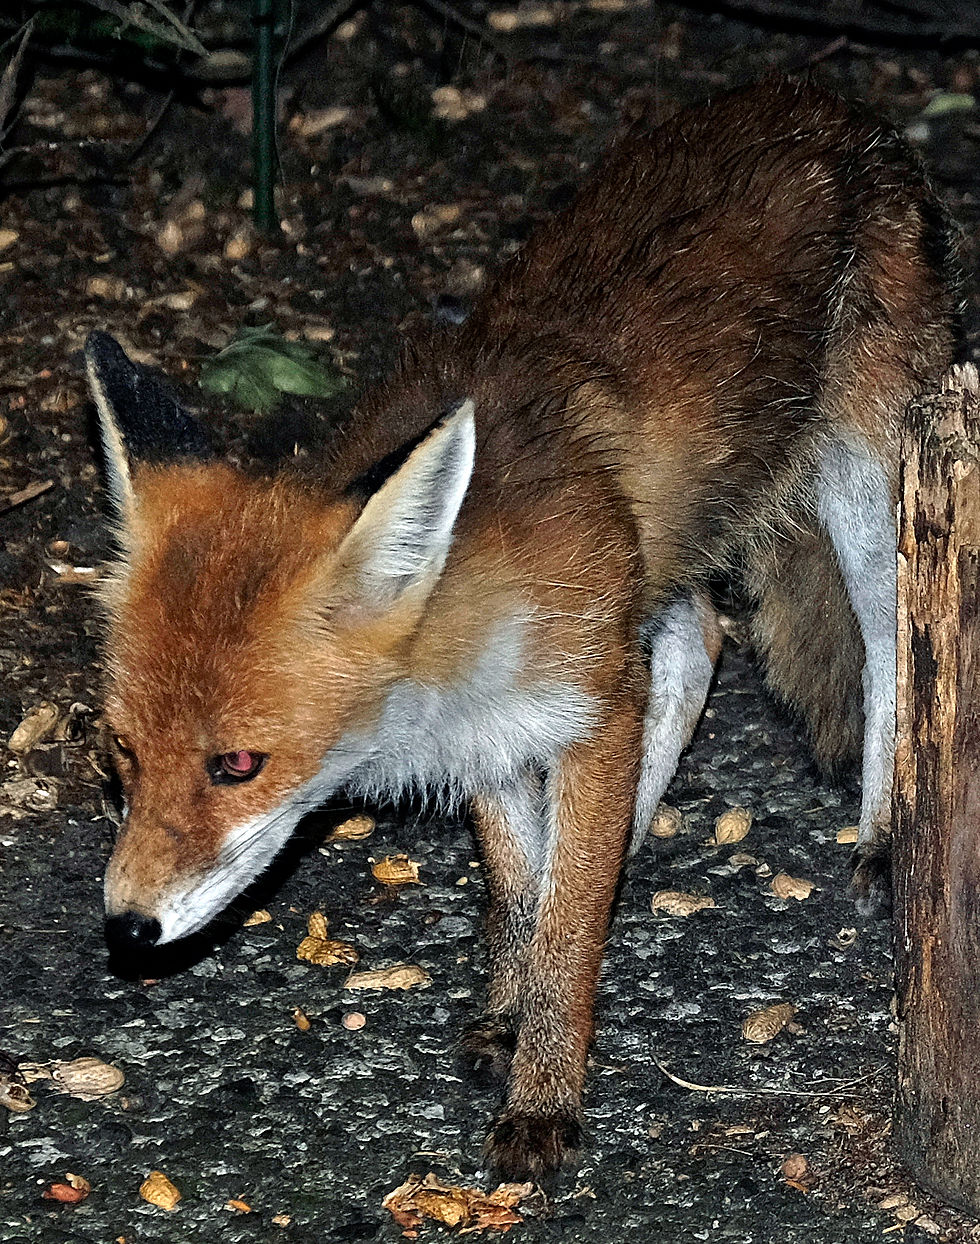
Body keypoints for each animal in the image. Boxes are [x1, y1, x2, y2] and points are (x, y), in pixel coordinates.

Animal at [83, 76, 957, 1181]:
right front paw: (511, 1001)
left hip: (866, 477)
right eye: (119, 754)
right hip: (656, 577)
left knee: (886, 643)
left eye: (236, 764)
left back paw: (883, 833)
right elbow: (520, 884)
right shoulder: (497, 729)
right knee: (695, 647)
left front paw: (542, 1098)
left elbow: (570, 926)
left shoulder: (585, 705)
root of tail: (820, 98)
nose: (126, 926)